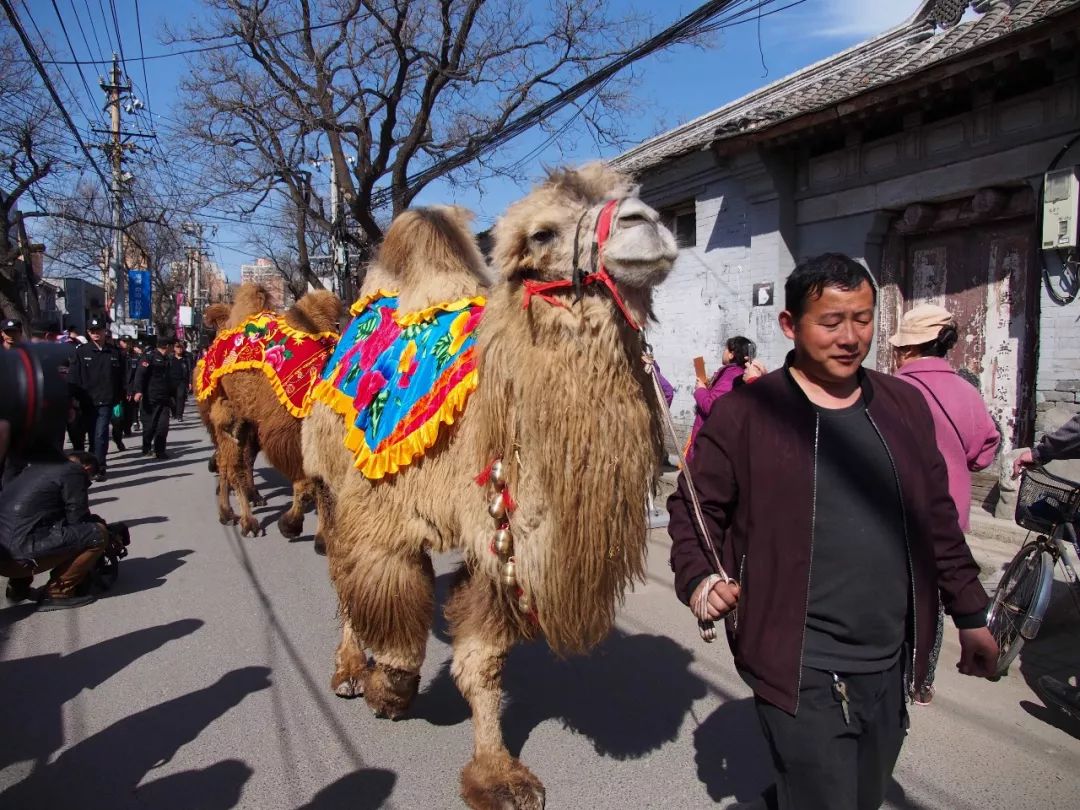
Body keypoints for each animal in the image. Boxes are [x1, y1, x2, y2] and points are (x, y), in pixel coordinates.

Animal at [302, 166, 673, 810]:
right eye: (542, 233)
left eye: (629, 199)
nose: (644, 223)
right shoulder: (383, 511)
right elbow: (387, 596)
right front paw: (389, 689)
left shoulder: (497, 543)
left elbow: (482, 660)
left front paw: (498, 774)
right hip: (329, 474)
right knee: (341, 571)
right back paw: (349, 669)